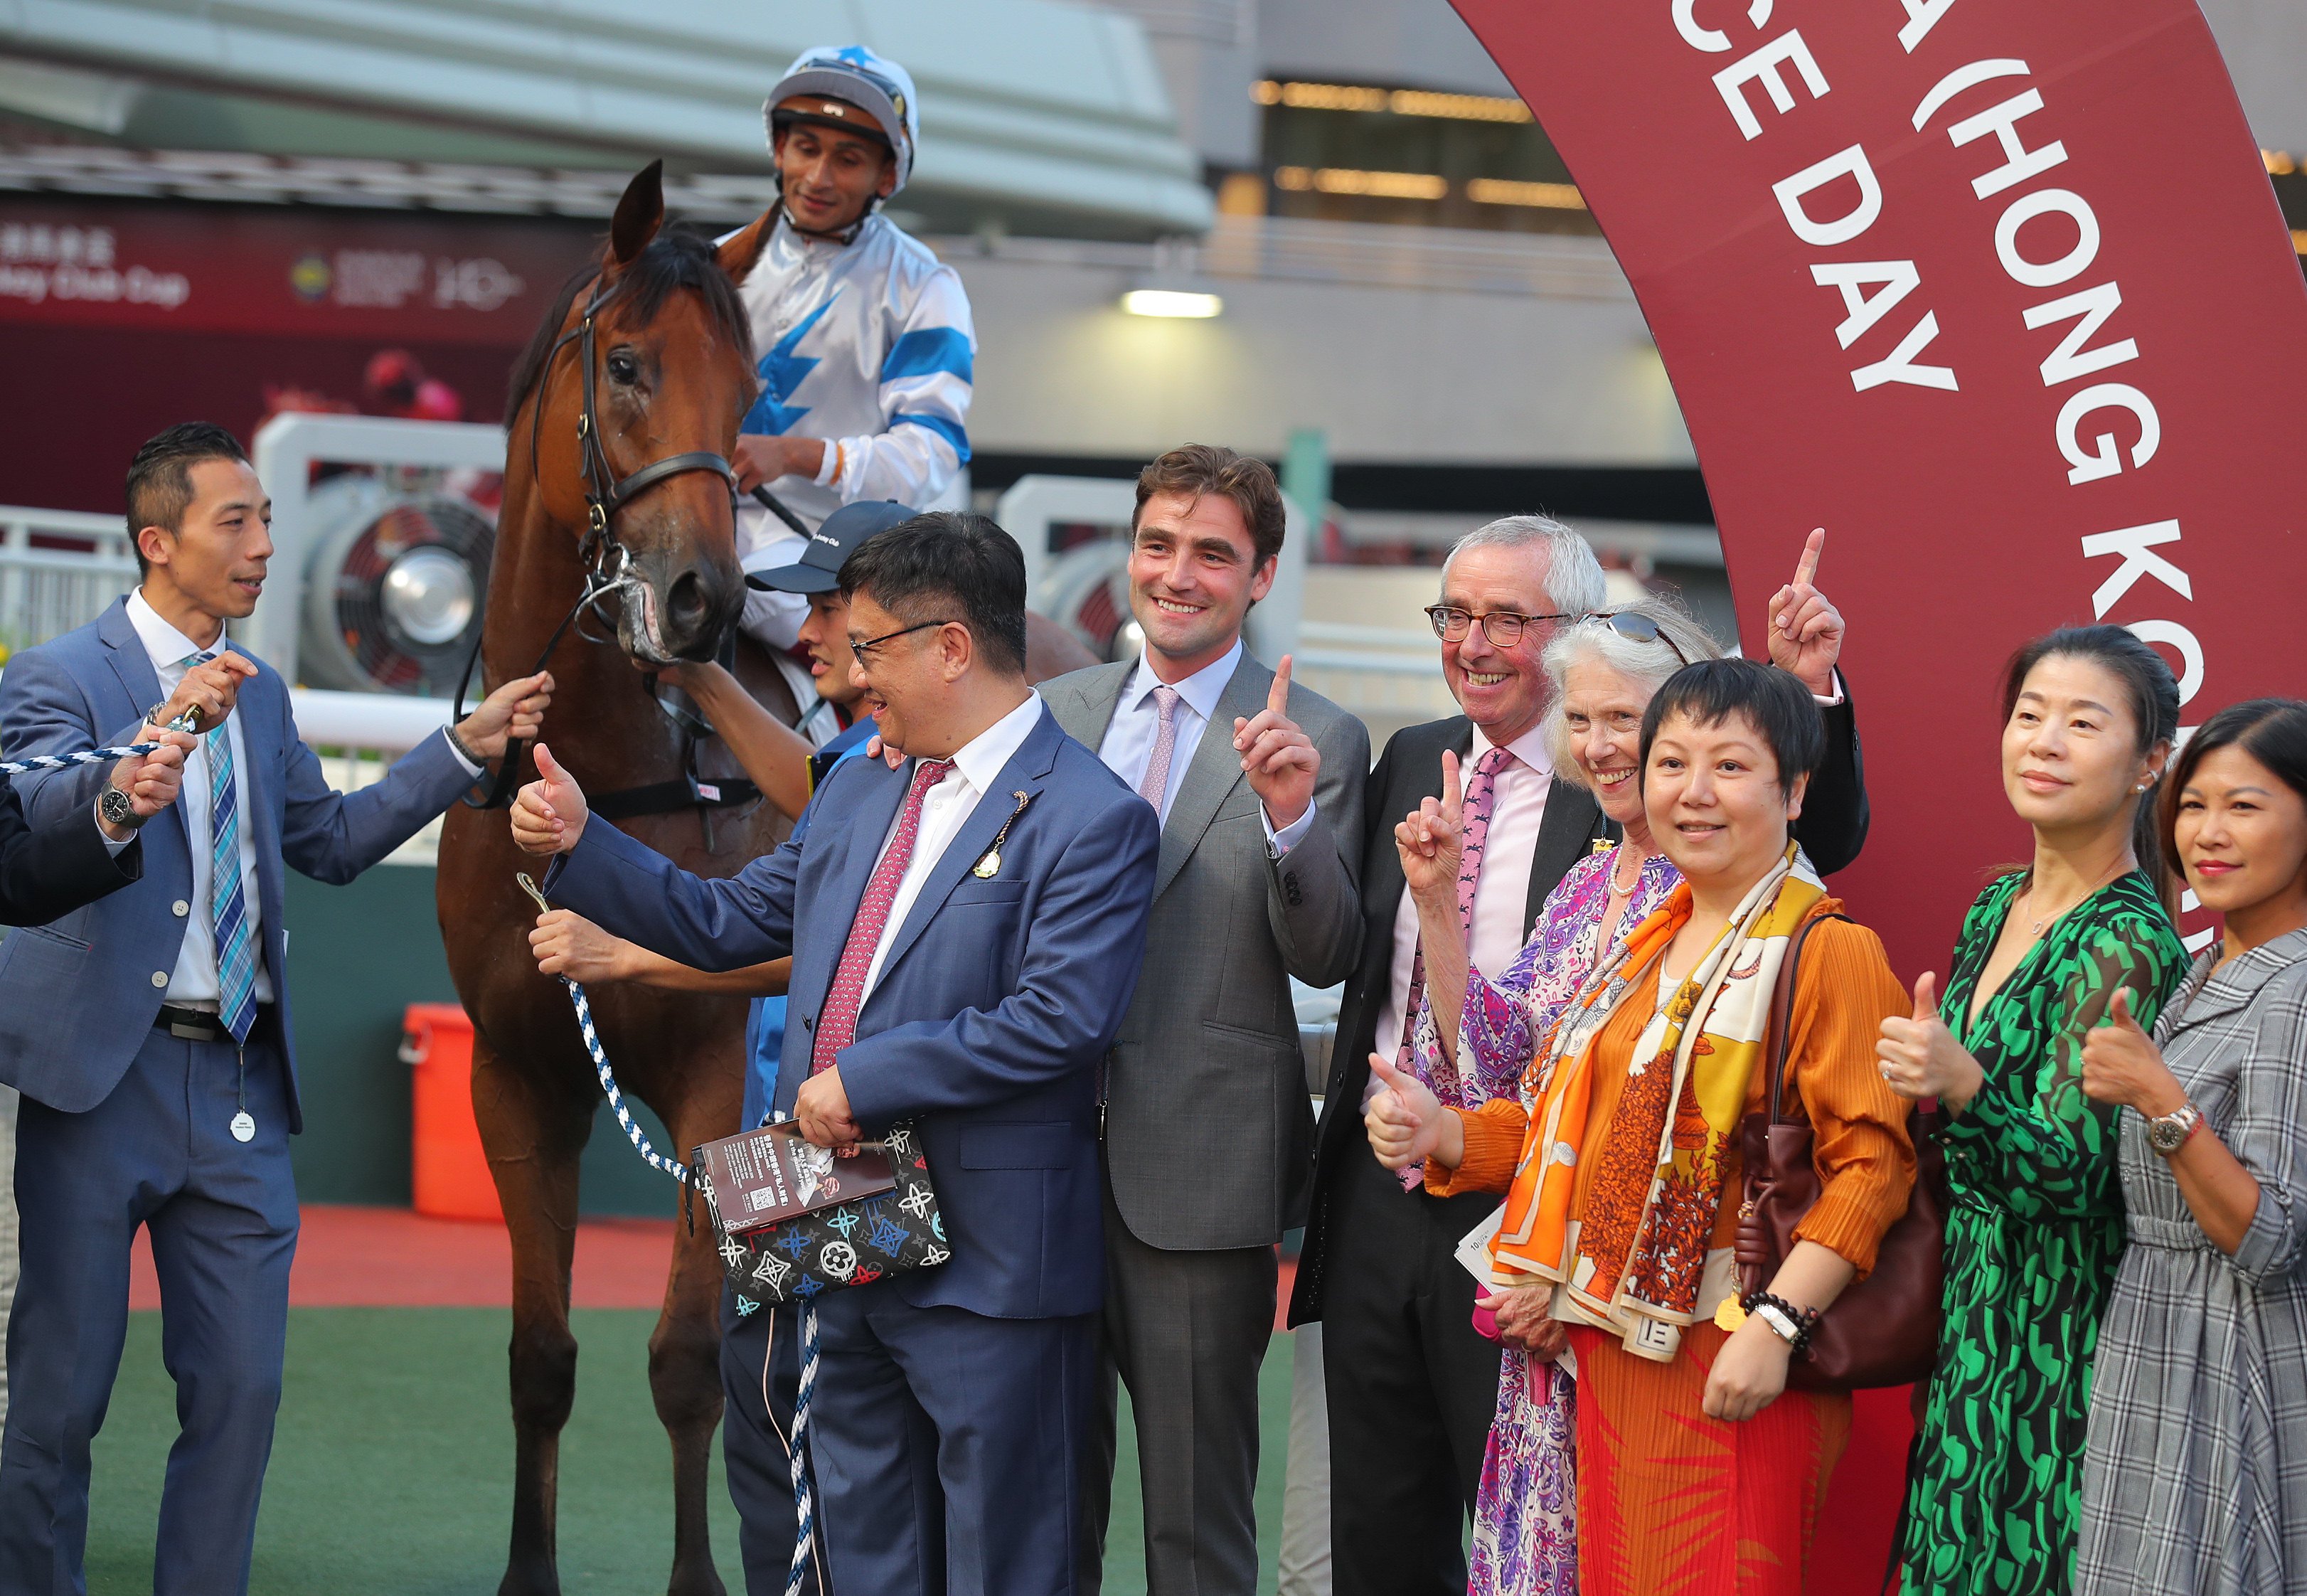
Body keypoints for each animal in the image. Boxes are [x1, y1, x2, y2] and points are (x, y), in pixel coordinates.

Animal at [436, 164, 798, 1596]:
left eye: (748, 396)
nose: (702, 599)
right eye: (630, 363)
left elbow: (688, 1362)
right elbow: (541, 1358)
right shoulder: (514, 1073)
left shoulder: (714, 1070)